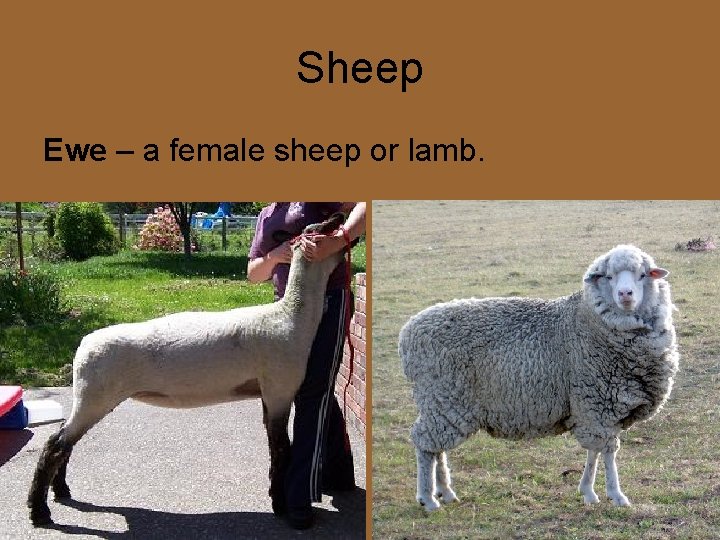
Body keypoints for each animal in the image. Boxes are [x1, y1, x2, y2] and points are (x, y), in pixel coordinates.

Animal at [27, 213, 347, 526]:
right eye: (324, 228)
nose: (342, 216)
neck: (291, 317)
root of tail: (83, 345)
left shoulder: (268, 394)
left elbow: (275, 447)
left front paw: (276, 497)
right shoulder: (280, 389)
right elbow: (281, 450)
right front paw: (280, 505)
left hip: (90, 397)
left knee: (64, 443)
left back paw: (61, 491)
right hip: (94, 396)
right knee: (55, 445)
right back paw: (39, 511)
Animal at [399, 245, 679, 511]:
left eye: (642, 275)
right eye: (609, 277)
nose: (625, 294)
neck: (588, 320)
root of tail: (407, 334)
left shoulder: (599, 409)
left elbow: (594, 452)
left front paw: (588, 492)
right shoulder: (597, 404)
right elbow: (607, 452)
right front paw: (615, 495)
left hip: (443, 404)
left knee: (437, 447)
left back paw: (445, 491)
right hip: (444, 397)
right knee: (425, 444)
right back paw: (428, 498)